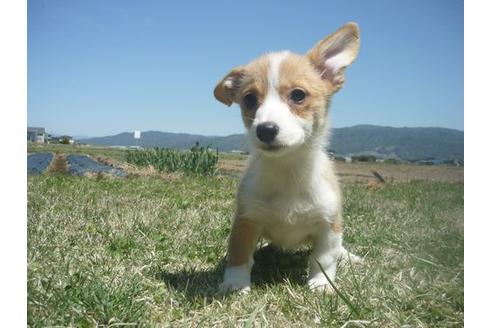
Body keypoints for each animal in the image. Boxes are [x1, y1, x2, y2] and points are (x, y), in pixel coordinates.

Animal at [214, 23, 362, 294]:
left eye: (298, 95)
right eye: (249, 99)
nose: (265, 130)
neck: (288, 171)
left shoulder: (329, 224)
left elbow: (324, 257)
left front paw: (322, 284)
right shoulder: (246, 219)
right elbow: (239, 254)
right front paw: (235, 283)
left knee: (338, 250)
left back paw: (349, 257)